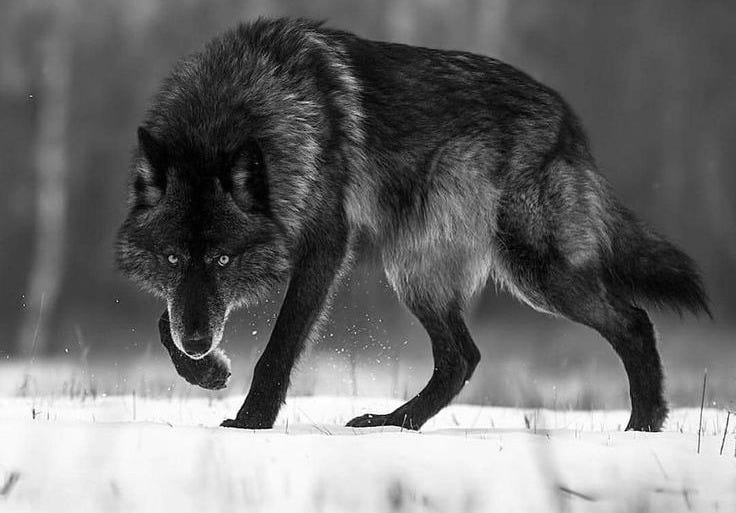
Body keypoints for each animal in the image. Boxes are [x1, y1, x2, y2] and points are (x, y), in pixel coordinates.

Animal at [116, 17, 709, 432]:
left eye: (223, 258)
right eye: (172, 257)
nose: (200, 343)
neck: (235, 109)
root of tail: (570, 121)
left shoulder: (326, 248)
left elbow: (279, 346)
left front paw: (251, 423)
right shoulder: (193, 295)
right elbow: (164, 322)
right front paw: (206, 371)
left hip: (531, 273)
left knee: (634, 321)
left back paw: (643, 427)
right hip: (417, 271)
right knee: (461, 358)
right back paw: (392, 423)